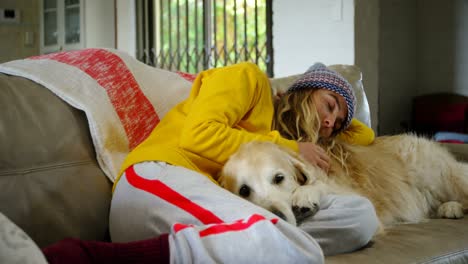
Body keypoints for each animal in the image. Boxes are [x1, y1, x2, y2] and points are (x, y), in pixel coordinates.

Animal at [218, 134, 468, 229]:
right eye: (243, 190)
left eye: (279, 178)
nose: (276, 217)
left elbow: (318, 183)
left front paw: (304, 195)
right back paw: (449, 208)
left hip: (441, 174)